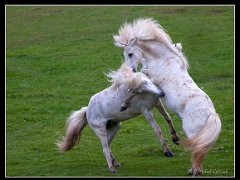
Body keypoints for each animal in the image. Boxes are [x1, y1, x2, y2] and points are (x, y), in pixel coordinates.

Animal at [113, 17, 222, 176]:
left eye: (130, 54)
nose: (131, 69)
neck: (163, 58)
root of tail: (211, 114)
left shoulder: (152, 79)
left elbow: (138, 83)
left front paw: (124, 104)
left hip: (192, 133)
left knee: (197, 153)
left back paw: (193, 171)